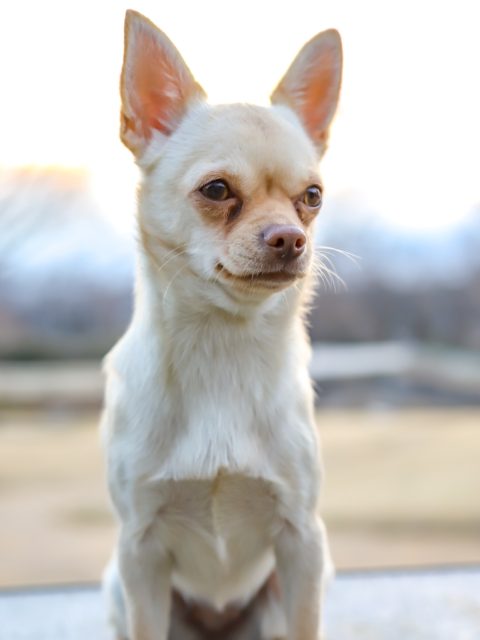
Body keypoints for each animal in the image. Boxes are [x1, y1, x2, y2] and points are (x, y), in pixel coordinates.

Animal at [100, 11, 342, 640]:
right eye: (216, 190)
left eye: (312, 196)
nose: (291, 238)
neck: (222, 345)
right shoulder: (140, 551)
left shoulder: (302, 541)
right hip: (119, 586)